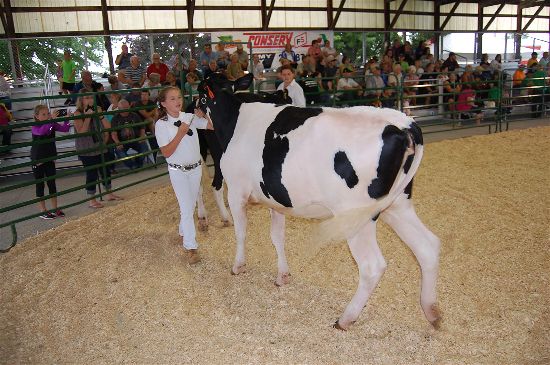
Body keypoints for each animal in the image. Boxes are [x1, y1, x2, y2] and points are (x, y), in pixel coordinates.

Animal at [196, 74, 442, 330]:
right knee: (427, 246)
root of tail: (404, 126)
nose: (192, 110)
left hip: (358, 218)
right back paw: (432, 312)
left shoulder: (236, 191)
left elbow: (241, 232)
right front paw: (282, 275)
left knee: (372, 266)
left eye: (200, 94)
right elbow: (277, 237)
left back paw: (346, 318)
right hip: (398, 205)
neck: (236, 120)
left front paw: (238, 266)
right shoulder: (275, 200)